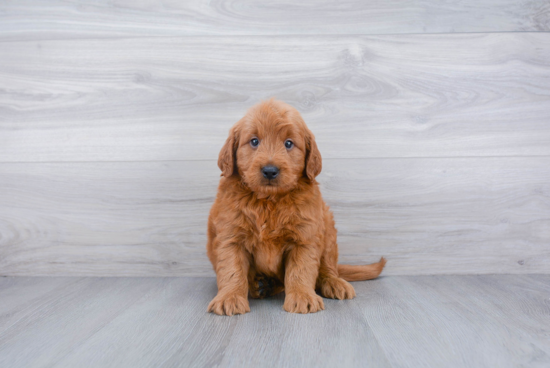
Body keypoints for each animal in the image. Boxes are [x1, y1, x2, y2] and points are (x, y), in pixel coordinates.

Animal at [208, 99, 388, 314]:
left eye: (288, 143)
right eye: (254, 141)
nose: (270, 171)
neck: (269, 201)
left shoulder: (305, 236)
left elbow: (300, 270)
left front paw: (302, 296)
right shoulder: (230, 237)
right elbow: (232, 270)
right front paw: (230, 297)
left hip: (327, 228)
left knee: (327, 267)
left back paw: (334, 282)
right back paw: (260, 285)